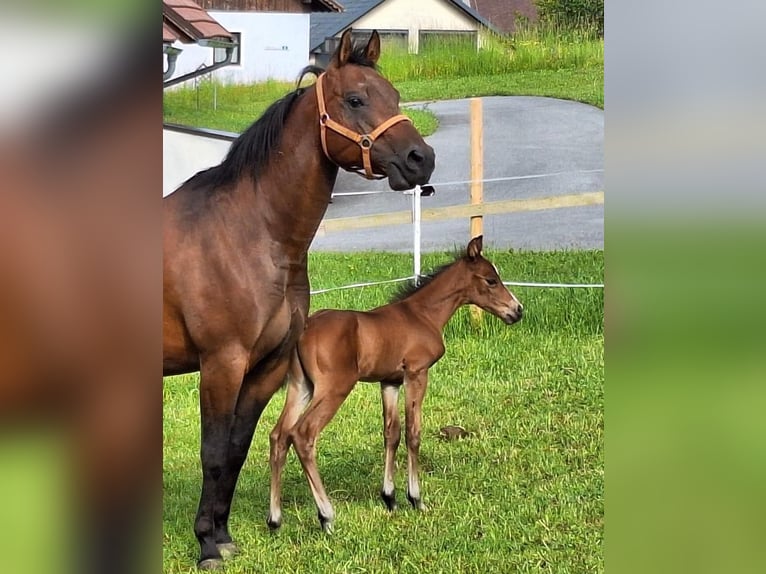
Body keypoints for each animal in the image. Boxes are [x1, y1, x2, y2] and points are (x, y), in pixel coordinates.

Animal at [163, 29, 435, 569]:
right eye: (355, 99)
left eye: (394, 95)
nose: (422, 159)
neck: (250, 234)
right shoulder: (221, 362)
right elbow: (213, 452)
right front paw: (205, 546)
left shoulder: (267, 366)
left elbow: (238, 449)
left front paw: (223, 535)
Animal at [267, 235, 523, 532]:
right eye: (491, 280)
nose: (517, 311)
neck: (423, 314)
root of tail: (304, 329)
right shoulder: (416, 373)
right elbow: (413, 432)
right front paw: (416, 499)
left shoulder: (389, 382)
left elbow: (392, 432)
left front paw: (389, 498)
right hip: (334, 389)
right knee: (303, 434)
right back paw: (326, 516)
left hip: (302, 387)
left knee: (279, 435)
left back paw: (275, 519)